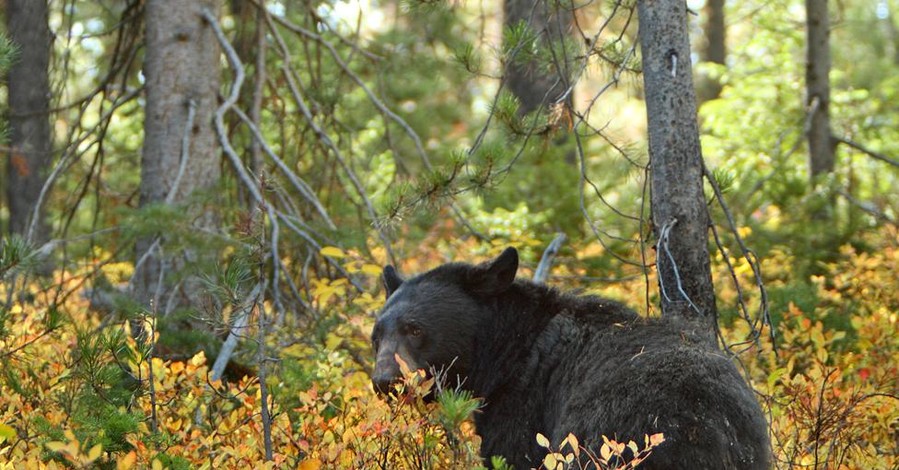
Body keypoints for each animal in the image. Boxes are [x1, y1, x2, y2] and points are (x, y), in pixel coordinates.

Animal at [370, 248, 768, 468]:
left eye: (415, 329)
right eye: (377, 335)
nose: (385, 380)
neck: (506, 354)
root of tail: (708, 424)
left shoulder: (525, 408)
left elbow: (512, 454)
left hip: (608, 438)